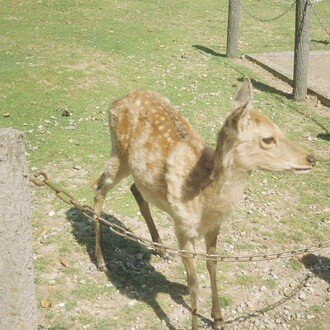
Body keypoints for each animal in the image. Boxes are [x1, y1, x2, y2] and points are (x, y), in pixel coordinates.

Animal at [92, 77, 314, 328]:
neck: (205, 203)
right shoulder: (182, 226)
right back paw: (101, 260)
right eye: (268, 138)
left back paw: (161, 250)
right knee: (98, 189)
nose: (311, 158)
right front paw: (197, 322)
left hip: (137, 173)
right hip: (117, 153)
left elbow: (213, 265)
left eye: (281, 130)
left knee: (134, 190)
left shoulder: (214, 227)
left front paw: (218, 319)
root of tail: (115, 102)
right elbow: (193, 282)